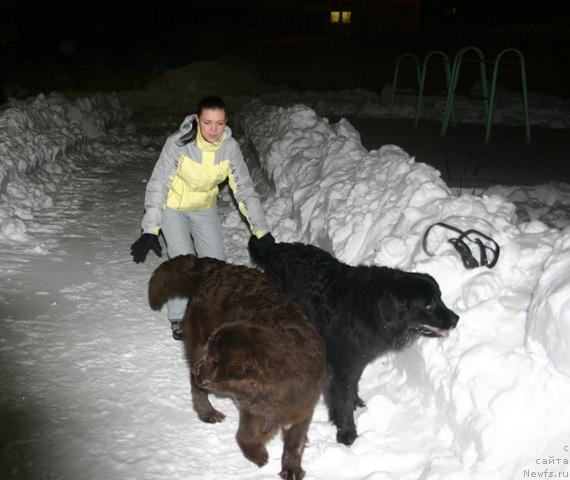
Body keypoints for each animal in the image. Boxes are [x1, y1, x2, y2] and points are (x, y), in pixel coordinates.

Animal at [146, 255, 324, 480]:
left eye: (213, 360)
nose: (197, 370)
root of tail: (217, 267)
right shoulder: (251, 409)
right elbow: (243, 435)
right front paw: (259, 455)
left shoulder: (302, 407)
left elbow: (294, 443)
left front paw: (291, 469)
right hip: (198, 340)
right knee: (197, 389)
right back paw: (207, 412)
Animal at [247, 234, 458, 448]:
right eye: (429, 305)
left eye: (440, 298)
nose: (455, 319)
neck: (372, 308)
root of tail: (275, 248)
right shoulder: (342, 366)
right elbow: (343, 399)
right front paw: (347, 433)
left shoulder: (357, 358)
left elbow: (353, 384)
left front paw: (356, 402)